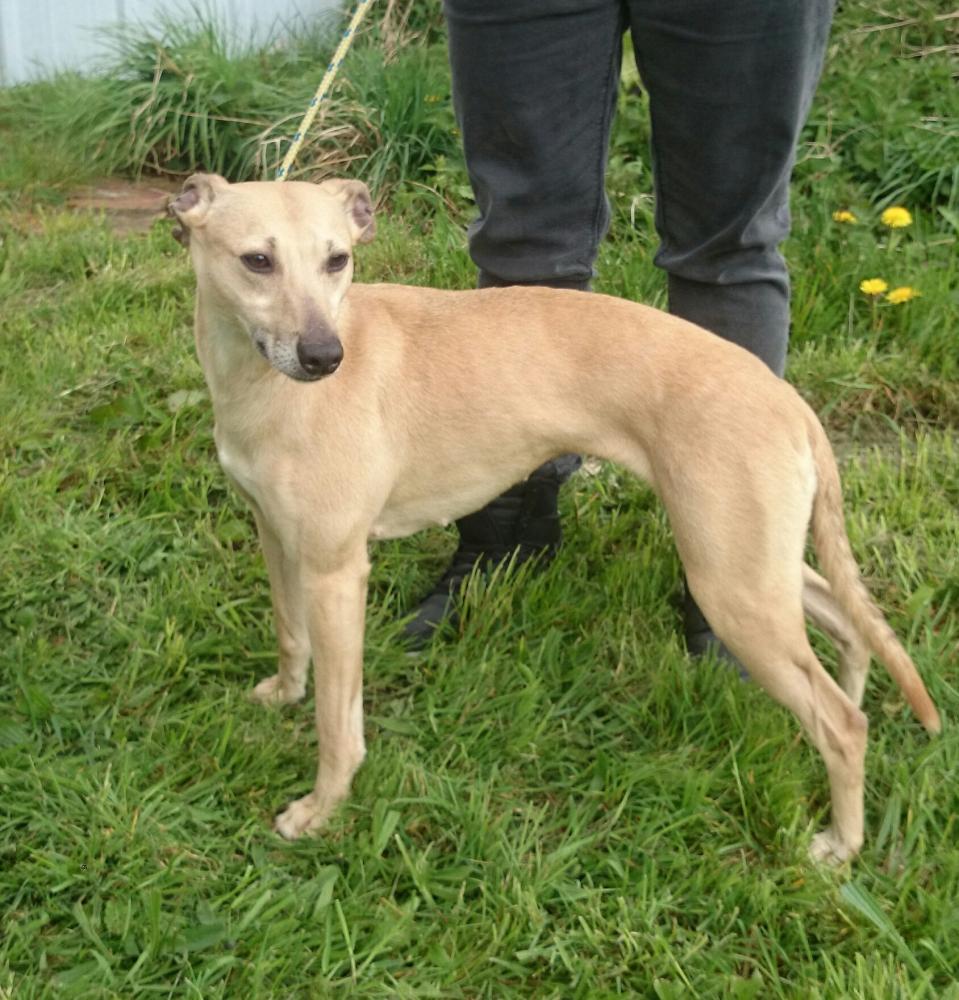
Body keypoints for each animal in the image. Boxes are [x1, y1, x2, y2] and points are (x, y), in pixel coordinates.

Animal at [171, 176, 936, 864]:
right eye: (257, 260)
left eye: (337, 260)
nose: (324, 357)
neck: (260, 386)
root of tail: (789, 401)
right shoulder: (279, 538)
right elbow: (288, 634)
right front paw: (283, 695)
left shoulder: (336, 571)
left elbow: (338, 724)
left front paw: (320, 809)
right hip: (751, 564)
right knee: (848, 626)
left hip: (731, 585)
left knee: (843, 723)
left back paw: (840, 844)